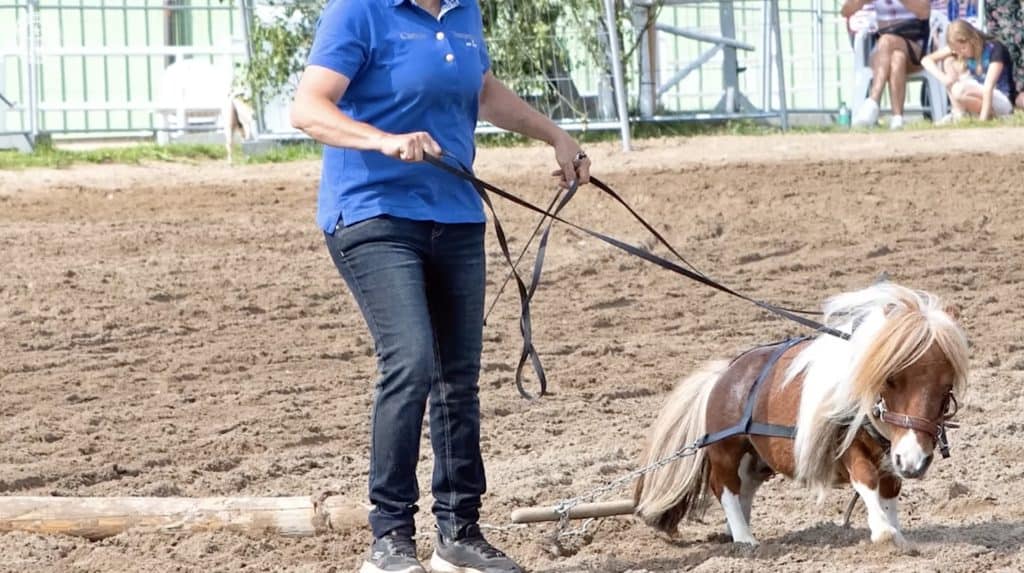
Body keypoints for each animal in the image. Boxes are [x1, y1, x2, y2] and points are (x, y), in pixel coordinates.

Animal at [632, 282, 968, 547]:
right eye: (891, 379)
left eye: (946, 387)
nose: (914, 462)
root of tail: (722, 374)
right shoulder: (848, 447)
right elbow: (867, 480)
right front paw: (883, 532)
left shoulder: (892, 455)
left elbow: (890, 492)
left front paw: (894, 529)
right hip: (726, 451)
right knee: (725, 488)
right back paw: (745, 540)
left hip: (757, 460)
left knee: (744, 490)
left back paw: (737, 530)